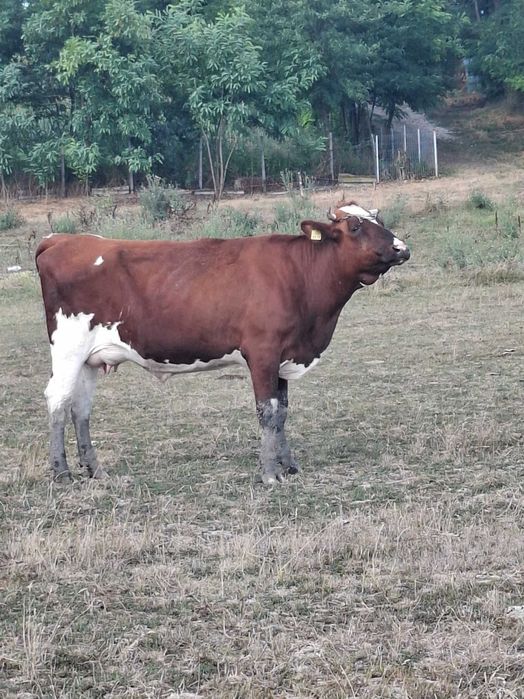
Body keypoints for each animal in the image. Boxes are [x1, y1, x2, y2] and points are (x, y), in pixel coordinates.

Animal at [35, 201, 410, 485]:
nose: (401, 248)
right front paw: (270, 473)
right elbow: (267, 411)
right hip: (69, 347)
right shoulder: (262, 352)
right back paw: (61, 472)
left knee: (81, 407)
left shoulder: (284, 357)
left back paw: (95, 470)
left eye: (379, 220)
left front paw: (289, 465)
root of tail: (62, 240)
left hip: (90, 358)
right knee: (58, 399)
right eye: (356, 226)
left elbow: (283, 411)